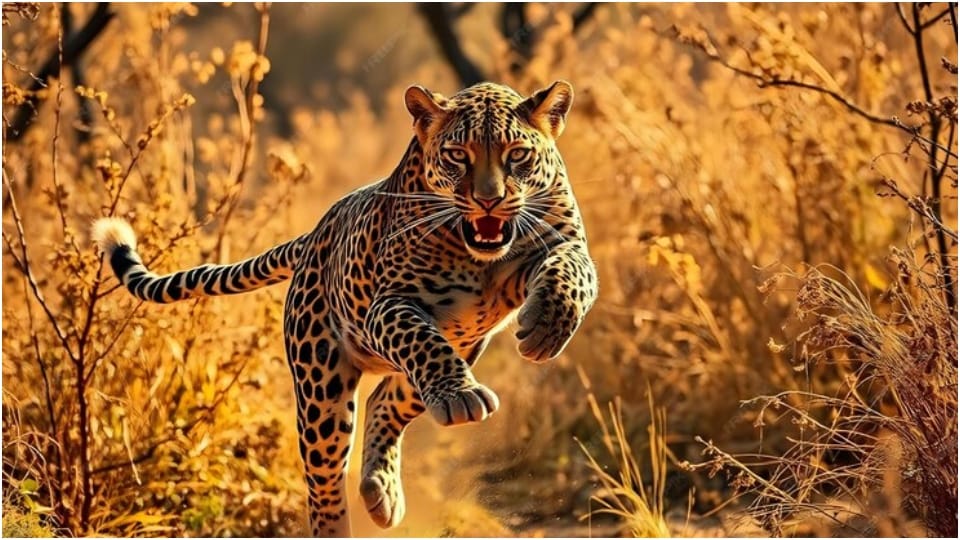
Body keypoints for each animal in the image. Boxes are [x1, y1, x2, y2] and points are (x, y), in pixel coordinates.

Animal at [92, 80, 598, 537]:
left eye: (517, 155)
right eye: (458, 155)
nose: (488, 200)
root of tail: (315, 234)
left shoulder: (565, 244)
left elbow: (573, 274)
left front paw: (547, 328)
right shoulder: (391, 305)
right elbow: (422, 342)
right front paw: (462, 393)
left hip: (459, 349)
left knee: (386, 400)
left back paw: (382, 491)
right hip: (322, 386)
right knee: (325, 480)